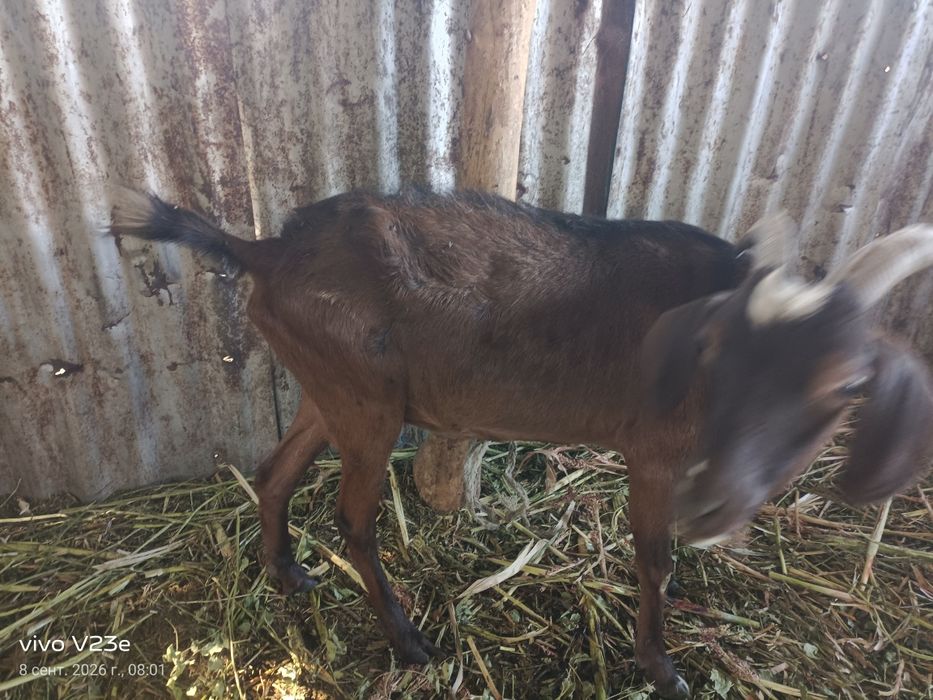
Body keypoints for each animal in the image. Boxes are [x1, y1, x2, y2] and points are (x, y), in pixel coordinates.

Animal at [110, 187, 933, 698]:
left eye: (846, 387)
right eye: (723, 355)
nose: (716, 506)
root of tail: (267, 253)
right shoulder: (653, 454)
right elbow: (653, 557)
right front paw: (660, 666)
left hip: (330, 389)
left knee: (274, 470)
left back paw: (287, 573)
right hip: (366, 403)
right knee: (353, 517)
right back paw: (408, 641)